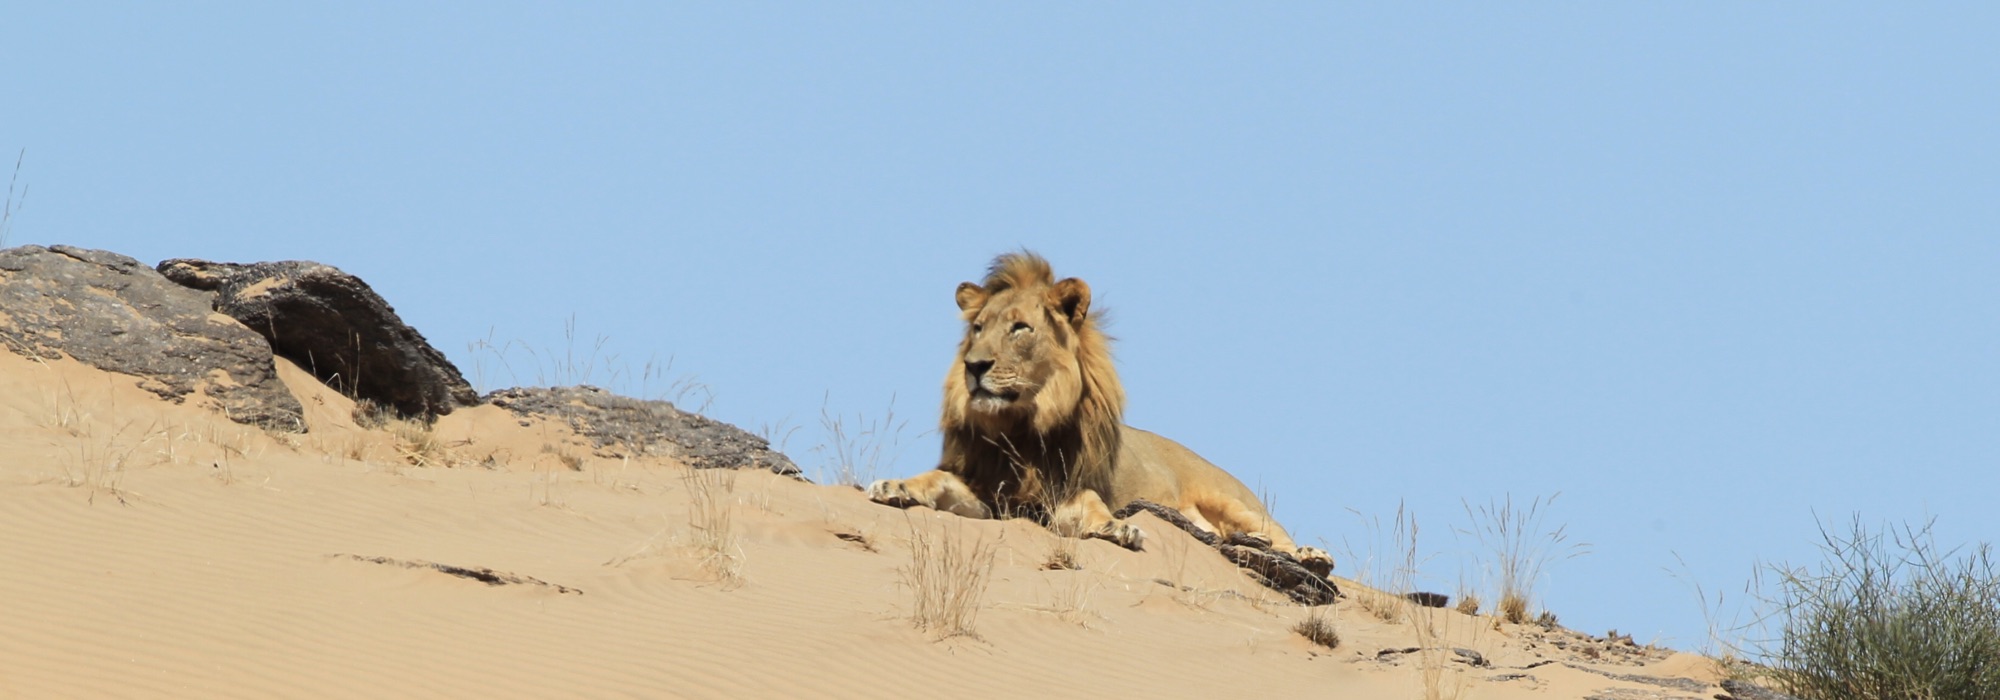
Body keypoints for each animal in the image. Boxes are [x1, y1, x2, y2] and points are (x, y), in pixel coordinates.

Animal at [868, 252, 1336, 576]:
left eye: (1020, 328)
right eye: (978, 328)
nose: (973, 366)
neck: (1019, 428)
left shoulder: (1068, 489)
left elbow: (1094, 503)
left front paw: (1117, 528)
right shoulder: (986, 492)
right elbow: (935, 479)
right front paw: (894, 486)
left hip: (1233, 499)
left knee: (1278, 536)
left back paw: (1313, 556)